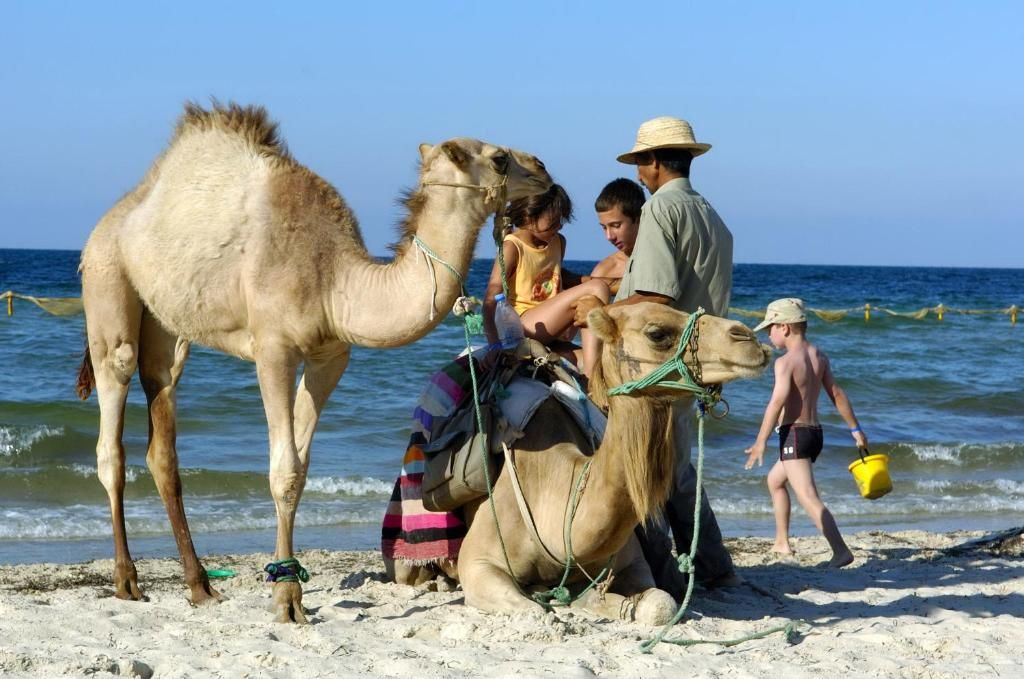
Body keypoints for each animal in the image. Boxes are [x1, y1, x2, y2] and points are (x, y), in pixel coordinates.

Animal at [76, 101, 553, 623]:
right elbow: (282, 470)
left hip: (166, 325)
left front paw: (288, 587)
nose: (544, 169)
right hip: (106, 280)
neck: (334, 278)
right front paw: (286, 600)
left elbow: (301, 469)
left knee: (162, 427)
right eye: (500, 158)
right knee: (112, 426)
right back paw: (127, 581)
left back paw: (200, 585)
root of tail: (117, 214)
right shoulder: (274, 348)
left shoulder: (330, 355)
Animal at [390, 303, 770, 624]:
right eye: (657, 333)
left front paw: (594, 600)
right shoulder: (481, 561)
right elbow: (533, 610)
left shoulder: (629, 561)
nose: (749, 339)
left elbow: (659, 603)